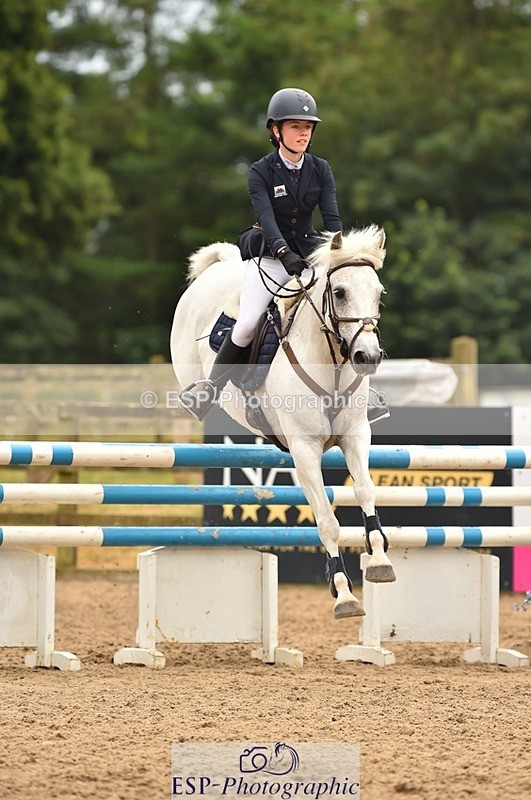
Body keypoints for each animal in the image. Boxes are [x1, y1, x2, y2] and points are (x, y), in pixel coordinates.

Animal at [170, 225, 396, 618]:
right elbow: (327, 521)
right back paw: (201, 394)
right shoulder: (304, 450)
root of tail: (220, 266)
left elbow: (366, 490)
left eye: (379, 294)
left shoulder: (355, 435)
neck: (331, 363)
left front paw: (380, 559)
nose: (366, 357)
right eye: (340, 292)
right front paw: (344, 594)